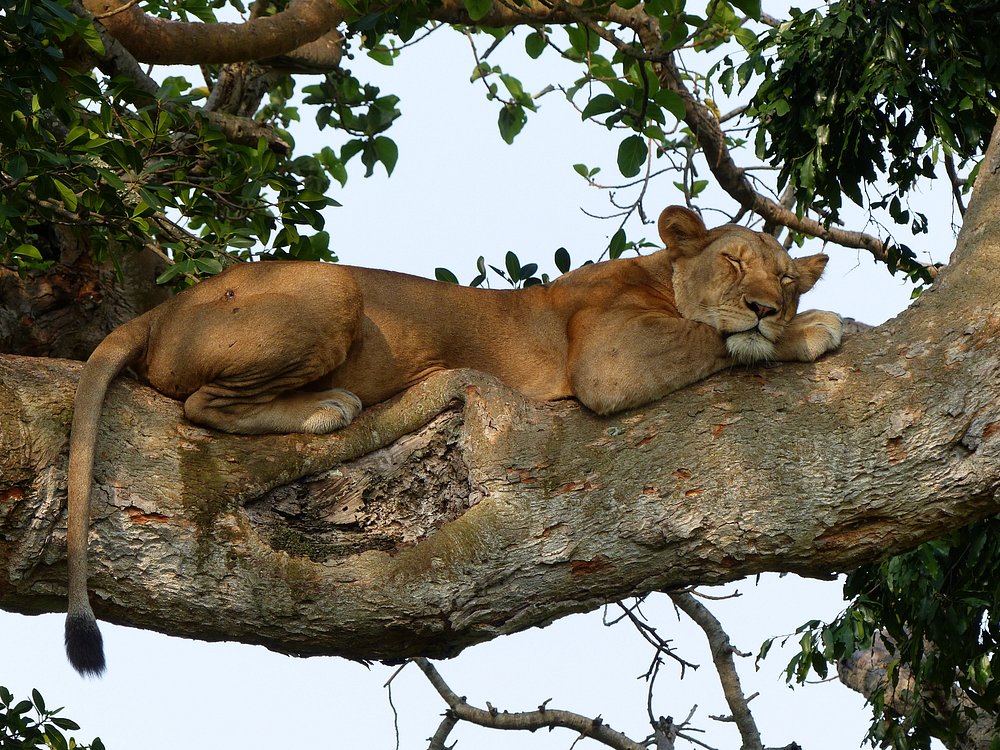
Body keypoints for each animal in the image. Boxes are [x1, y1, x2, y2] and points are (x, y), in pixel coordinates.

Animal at [64, 205, 842, 675]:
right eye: (734, 263)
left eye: (785, 278)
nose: (767, 306)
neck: (658, 274)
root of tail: (165, 308)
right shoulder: (608, 358)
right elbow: (712, 336)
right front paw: (808, 329)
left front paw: (793, 324)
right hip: (334, 291)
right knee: (201, 404)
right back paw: (325, 408)